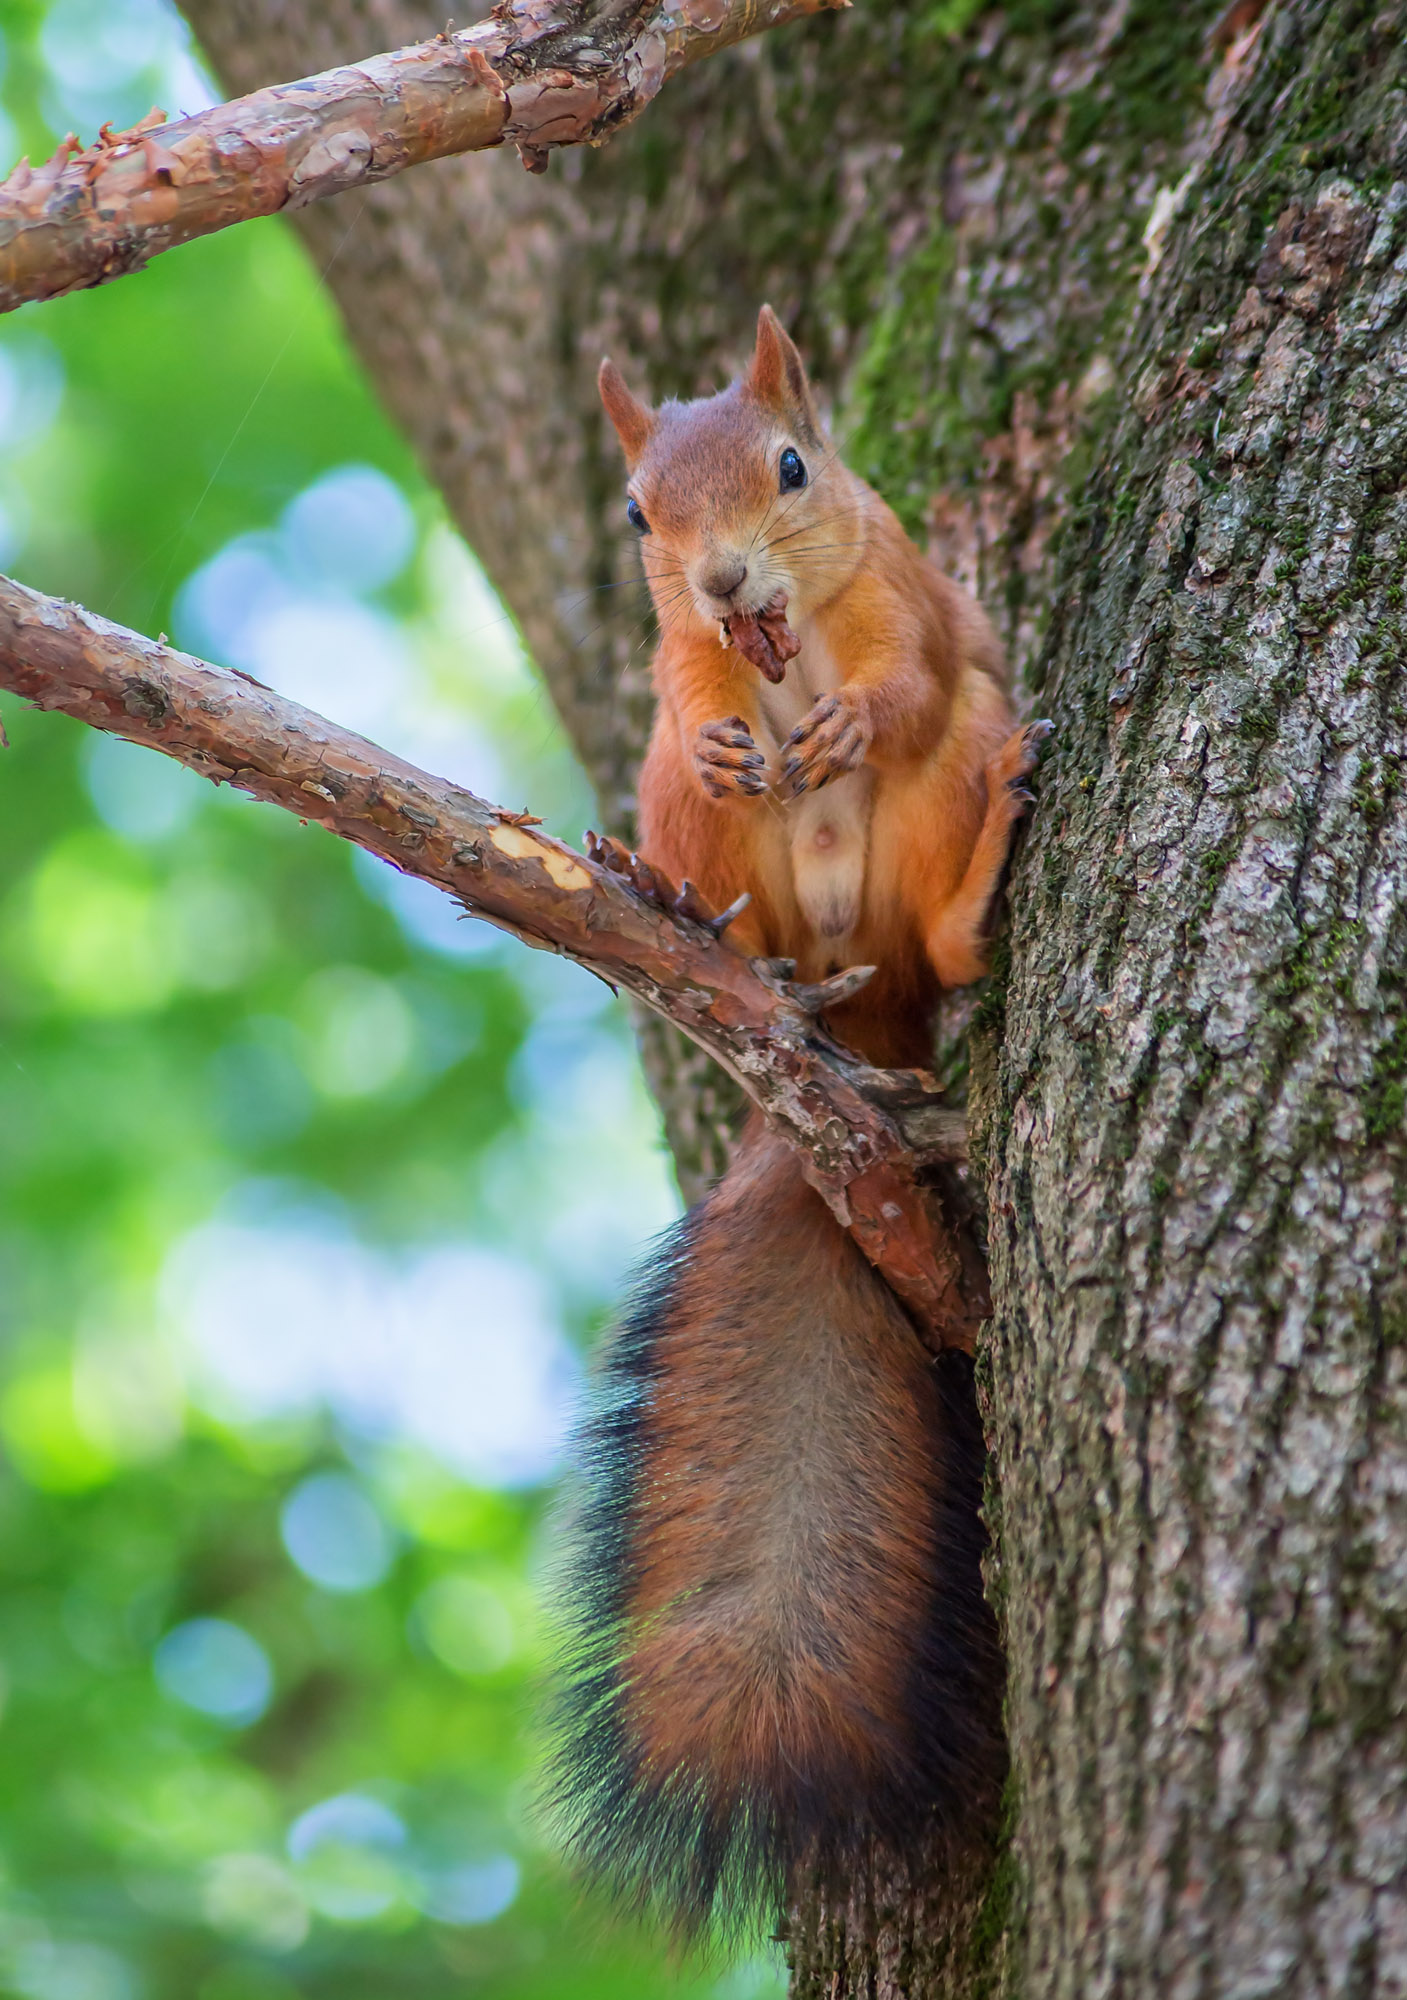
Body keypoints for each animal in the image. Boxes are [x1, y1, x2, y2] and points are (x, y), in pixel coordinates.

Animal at [547, 308, 1047, 1936]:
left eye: (790, 467)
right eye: (636, 513)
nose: (720, 584)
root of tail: (841, 1032)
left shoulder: (908, 601)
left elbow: (906, 681)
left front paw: (847, 716)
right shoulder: (677, 666)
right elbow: (688, 694)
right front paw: (737, 724)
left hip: (955, 780)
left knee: (950, 841)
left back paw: (970, 899)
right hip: (690, 826)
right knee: (710, 863)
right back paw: (674, 907)